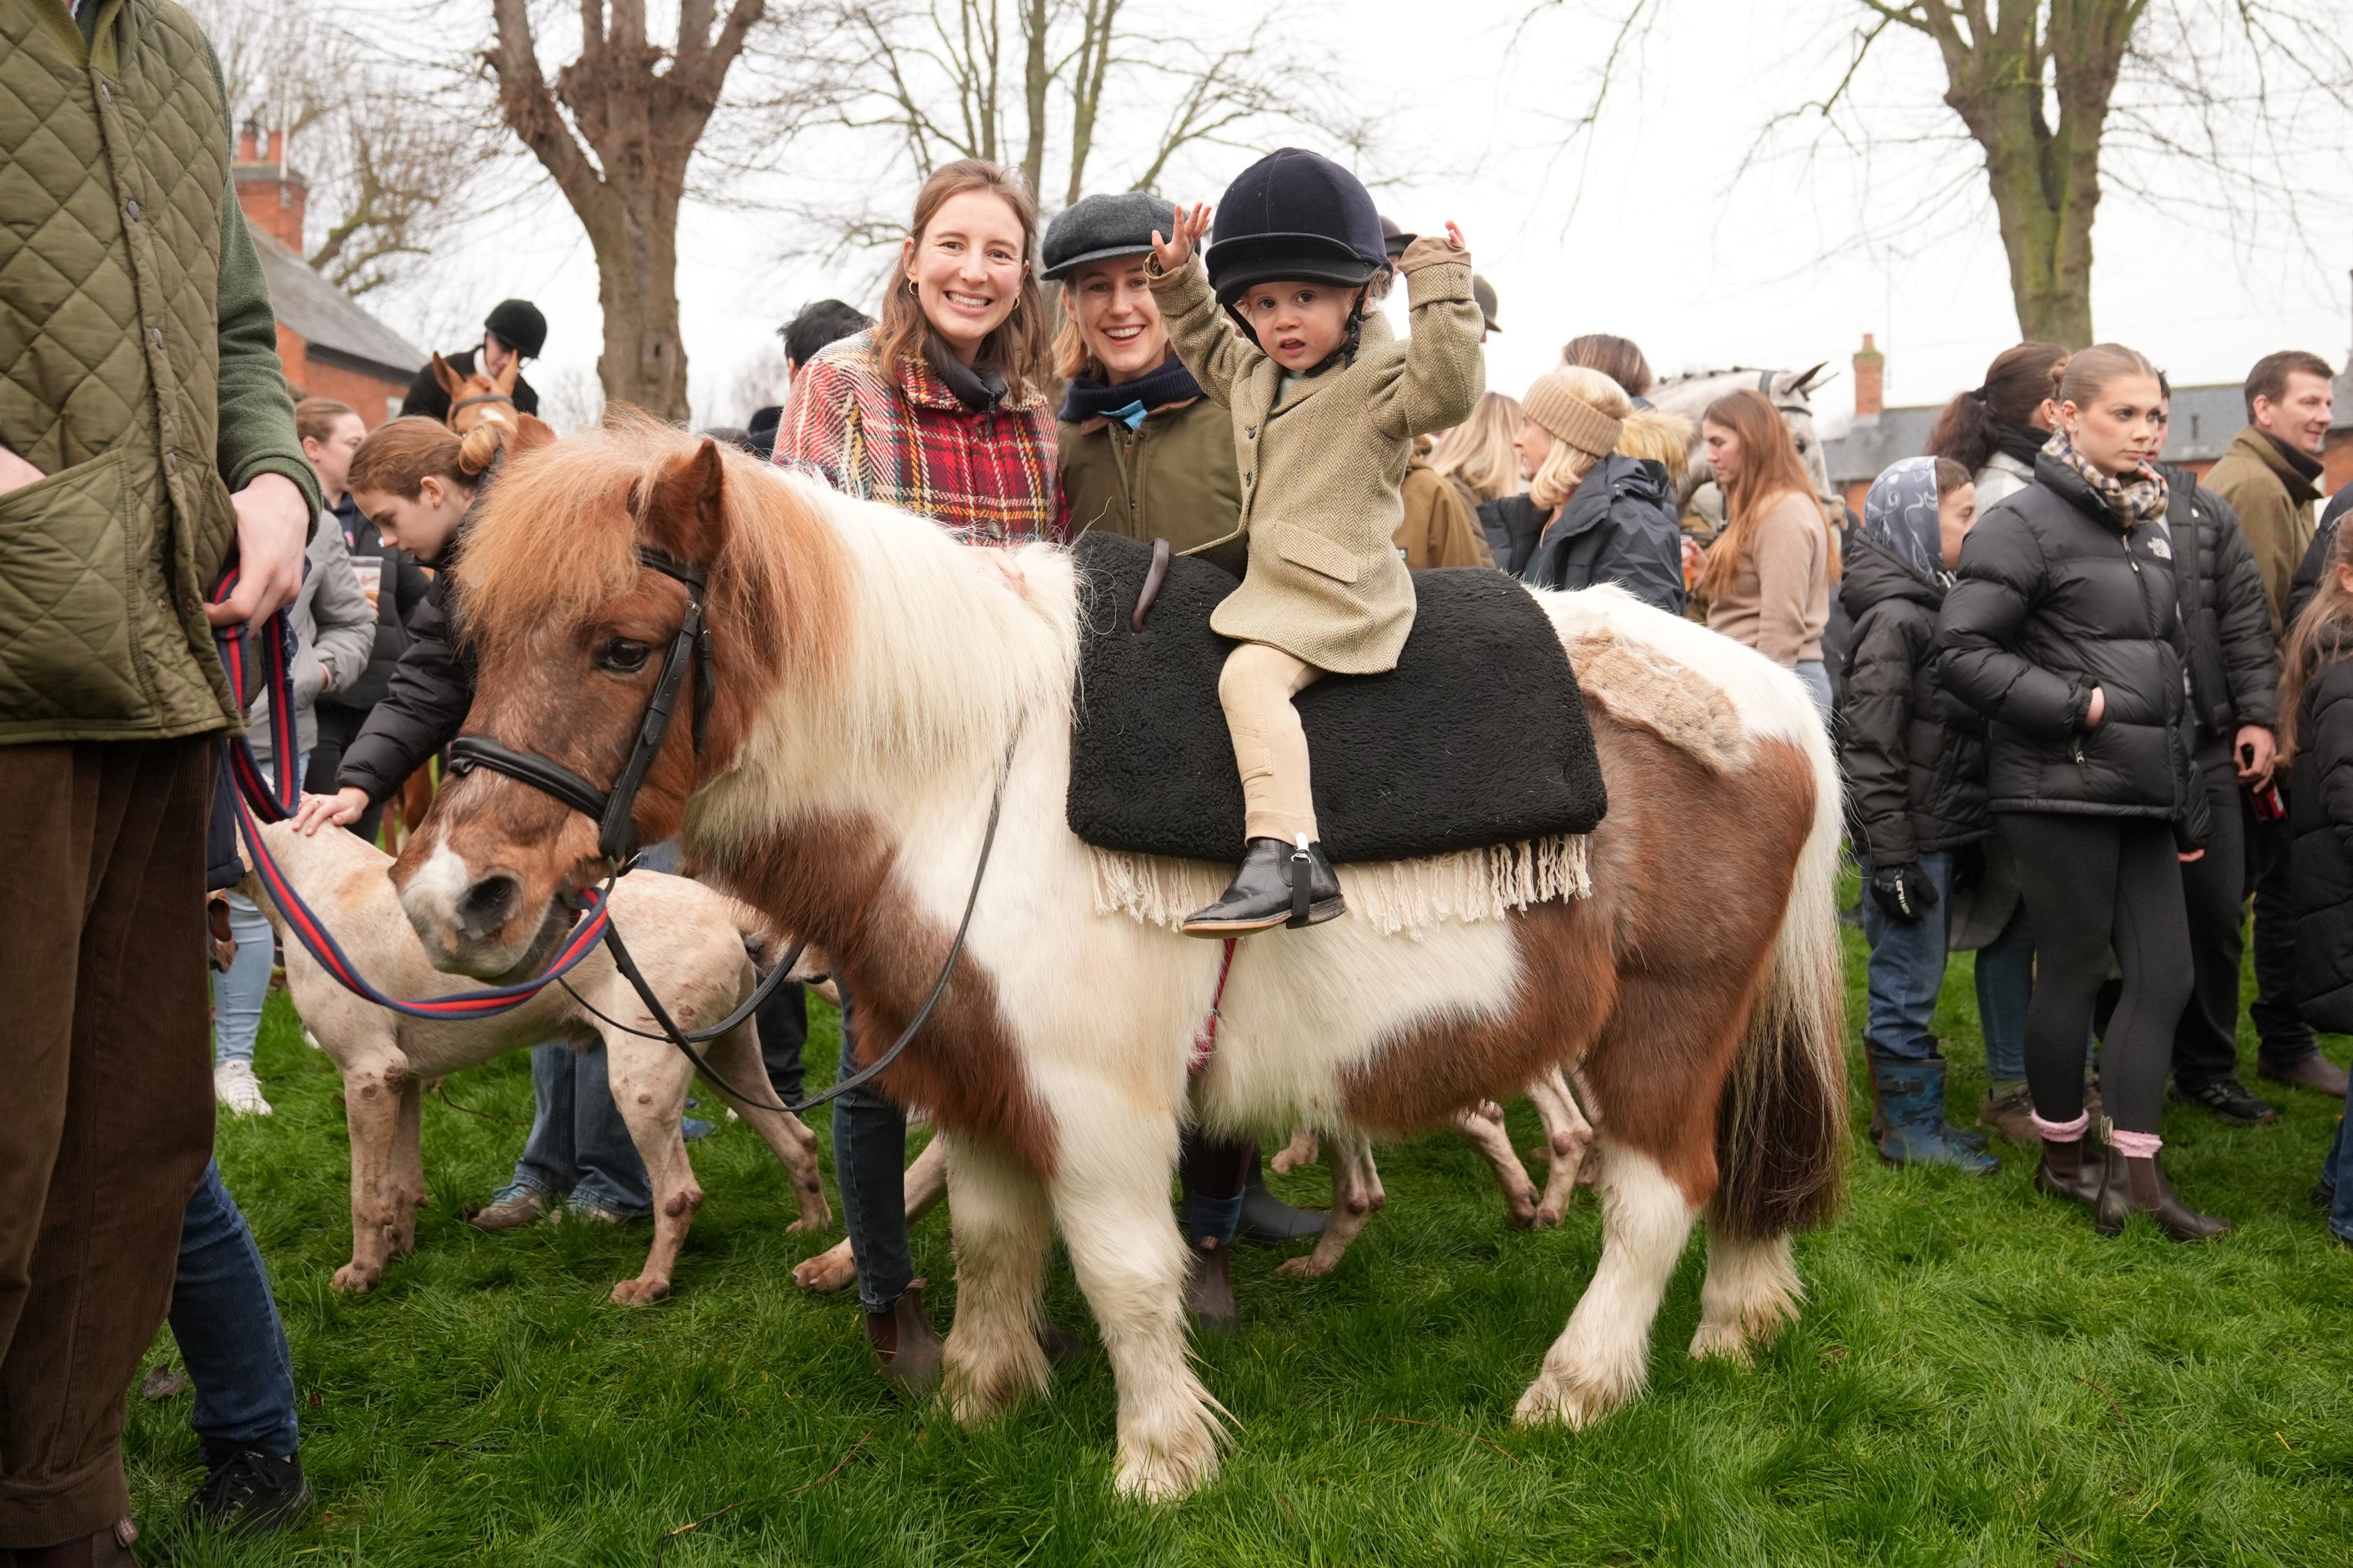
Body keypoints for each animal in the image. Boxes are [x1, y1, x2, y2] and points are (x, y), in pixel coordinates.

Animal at [390, 416, 1854, 1504]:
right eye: (474, 643)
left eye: (624, 647)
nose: (459, 896)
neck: (966, 774)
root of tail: (1769, 703)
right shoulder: (977, 1079)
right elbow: (990, 1248)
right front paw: (977, 1403)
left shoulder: (1095, 1107)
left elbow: (1123, 1274)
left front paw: (1159, 1460)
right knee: (1737, 1178)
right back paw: (1735, 1324)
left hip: (1662, 1026)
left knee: (1659, 1196)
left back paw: (1576, 1388)